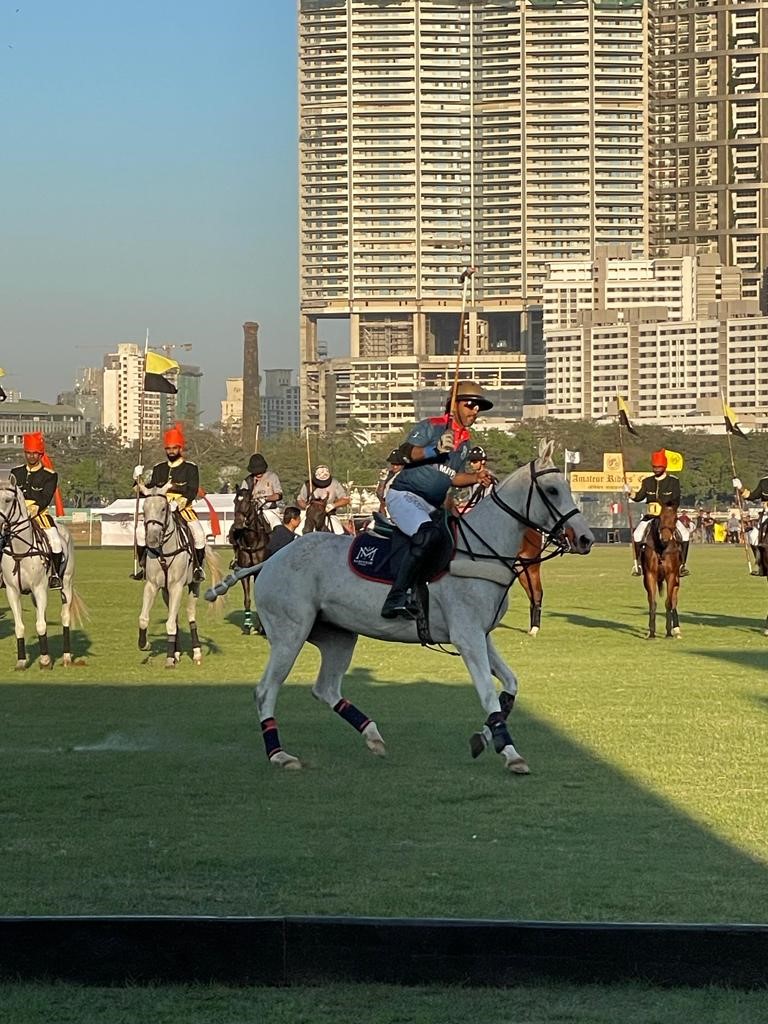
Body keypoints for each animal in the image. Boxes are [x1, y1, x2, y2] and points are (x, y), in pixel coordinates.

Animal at [228, 487, 270, 630]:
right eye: (234, 501)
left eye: (248, 501)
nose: (237, 524)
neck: (251, 542)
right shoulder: (243, 572)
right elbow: (247, 599)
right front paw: (247, 624)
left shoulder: (258, 572)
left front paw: (262, 626)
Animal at [638, 505, 684, 638]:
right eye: (660, 518)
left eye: (675, 518)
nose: (665, 539)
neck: (661, 548)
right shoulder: (650, 575)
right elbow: (652, 603)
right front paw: (652, 633)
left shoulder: (671, 575)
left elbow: (668, 602)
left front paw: (669, 633)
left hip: (676, 580)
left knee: (674, 600)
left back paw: (676, 629)